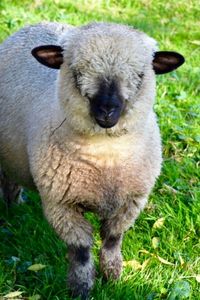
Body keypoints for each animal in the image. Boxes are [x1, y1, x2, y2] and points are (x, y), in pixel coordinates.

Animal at [0, 22, 184, 298]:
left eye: (141, 75)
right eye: (77, 73)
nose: (107, 110)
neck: (104, 160)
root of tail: (39, 23)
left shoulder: (130, 202)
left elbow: (112, 241)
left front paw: (113, 279)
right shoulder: (60, 204)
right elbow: (81, 251)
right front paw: (82, 289)